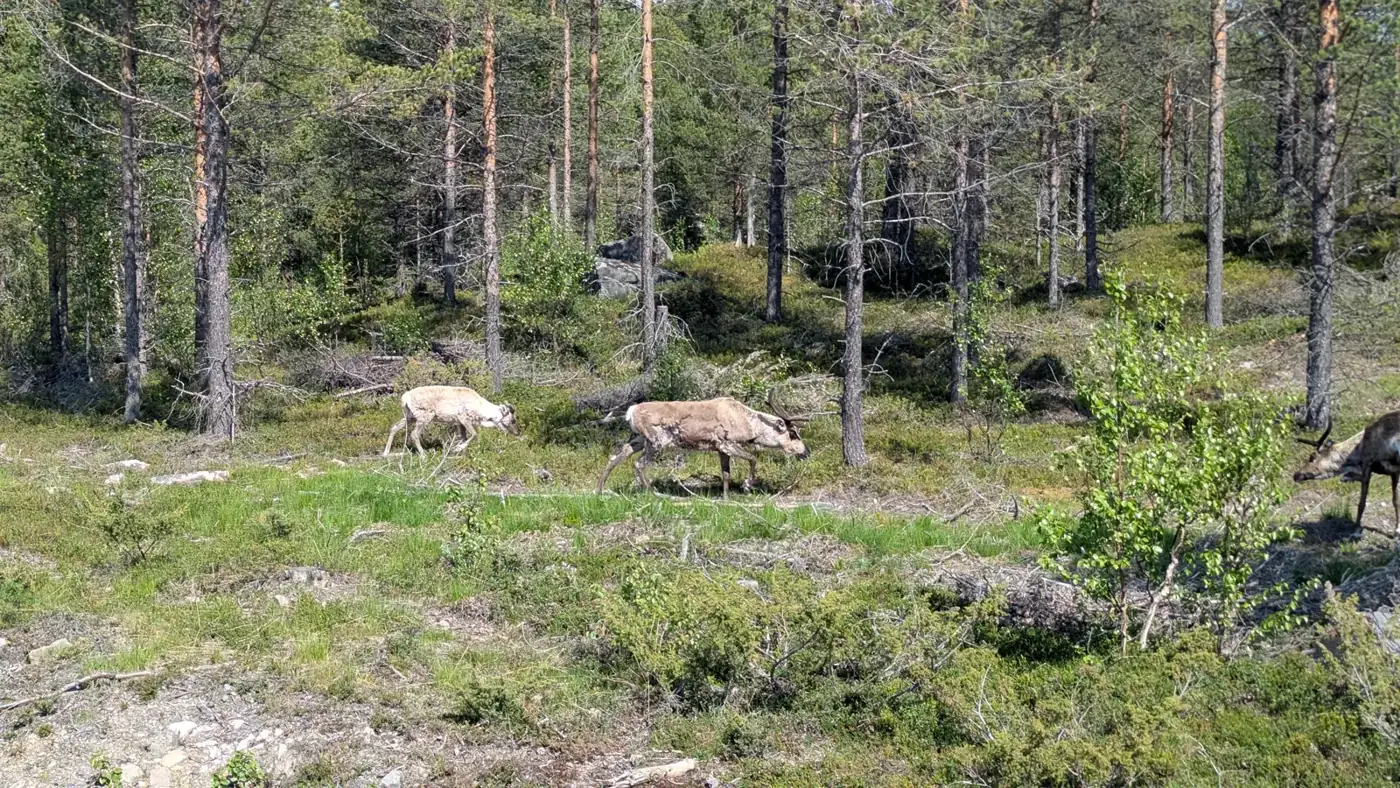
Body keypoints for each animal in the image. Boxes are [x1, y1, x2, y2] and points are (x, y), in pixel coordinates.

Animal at [382, 386, 519, 456]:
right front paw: (457, 449)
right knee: (414, 434)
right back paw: (424, 455)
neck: (481, 410)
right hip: (424, 416)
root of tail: (405, 398)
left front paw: (460, 451)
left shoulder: (459, 423)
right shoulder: (463, 417)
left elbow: (464, 437)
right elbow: (474, 434)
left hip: (409, 416)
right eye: (513, 420)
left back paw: (386, 453)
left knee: (394, 427)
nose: (518, 432)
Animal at [596, 391, 811, 498]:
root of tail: (630, 412)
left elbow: (726, 474)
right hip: (656, 441)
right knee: (639, 464)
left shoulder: (720, 449)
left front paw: (726, 498)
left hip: (637, 439)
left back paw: (598, 490)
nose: (806, 452)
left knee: (615, 457)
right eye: (793, 433)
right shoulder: (727, 443)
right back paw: (654, 493)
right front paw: (746, 485)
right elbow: (753, 458)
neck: (749, 425)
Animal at [1294, 411, 1400, 539]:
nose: (1296, 475)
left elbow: (1361, 504)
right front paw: (1396, 530)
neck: (1358, 448)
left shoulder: (1367, 465)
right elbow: (1396, 500)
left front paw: (1356, 530)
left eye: (1312, 457)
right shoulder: (1394, 472)